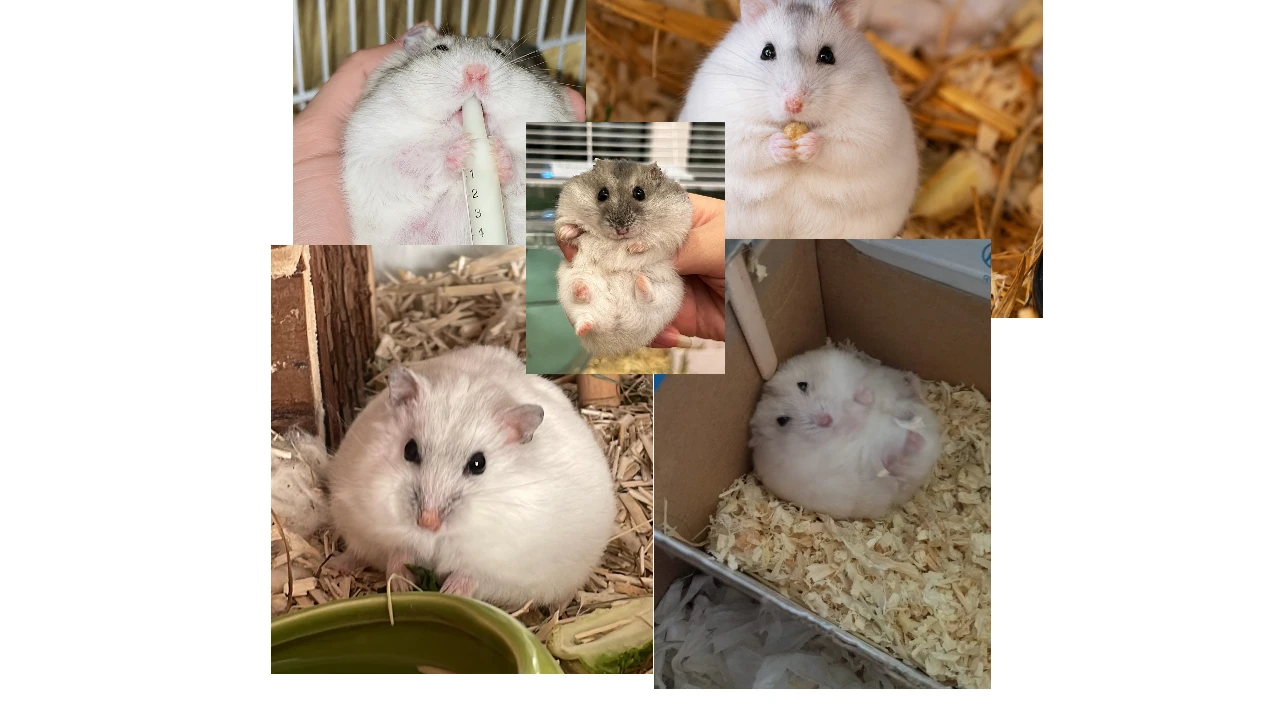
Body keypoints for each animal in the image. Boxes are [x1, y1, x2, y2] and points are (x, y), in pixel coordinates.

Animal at [323, 345, 617, 608]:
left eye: (478, 464)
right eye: (409, 450)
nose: (427, 523)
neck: (440, 537)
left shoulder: (503, 567)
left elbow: (471, 576)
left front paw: (448, 593)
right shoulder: (378, 529)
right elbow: (397, 553)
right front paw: (400, 585)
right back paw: (337, 565)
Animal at [342, 26, 574, 245]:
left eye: (499, 53)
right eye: (440, 48)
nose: (476, 72)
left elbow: (521, 169)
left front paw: (496, 149)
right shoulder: (377, 158)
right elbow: (418, 161)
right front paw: (462, 148)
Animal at [553, 159, 692, 357]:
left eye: (639, 193)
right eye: (602, 194)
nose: (621, 230)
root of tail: (619, 338)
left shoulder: (676, 226)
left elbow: (654, 239)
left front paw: (633, 247)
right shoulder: (566, 210)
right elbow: (568, 226)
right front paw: (566, 233)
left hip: (667, 297)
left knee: (648, 298)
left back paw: (640, 281)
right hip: (570, 295)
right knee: (584, 316)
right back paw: (580, 290)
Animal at [677, 0, 917, 239]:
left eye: (827, 55)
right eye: (767, 52)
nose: (794, 104)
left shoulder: (869, 128)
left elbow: (841, 145)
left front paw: (807, 144)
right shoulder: (729, 121)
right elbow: (752, 144)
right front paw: (781, 144)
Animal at [748, 347, 942, 520]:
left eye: (802, 385)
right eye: (782, 420)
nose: (826, 420)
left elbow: (866, 400)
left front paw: (862, 396)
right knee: (897, 460)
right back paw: (911, 441)